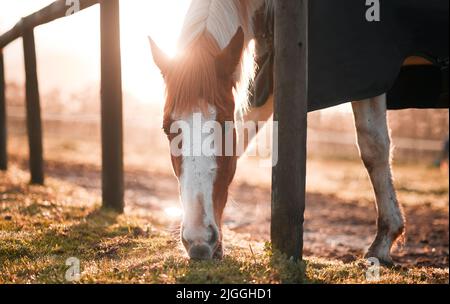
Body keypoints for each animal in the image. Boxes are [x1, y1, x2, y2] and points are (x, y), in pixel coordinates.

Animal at [149, 0, 442, 264]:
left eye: (223, 123)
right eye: (166, 129)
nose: (197, 241)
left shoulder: (368, 74)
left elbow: (374, 147)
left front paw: (383, 242)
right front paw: (216, 243)